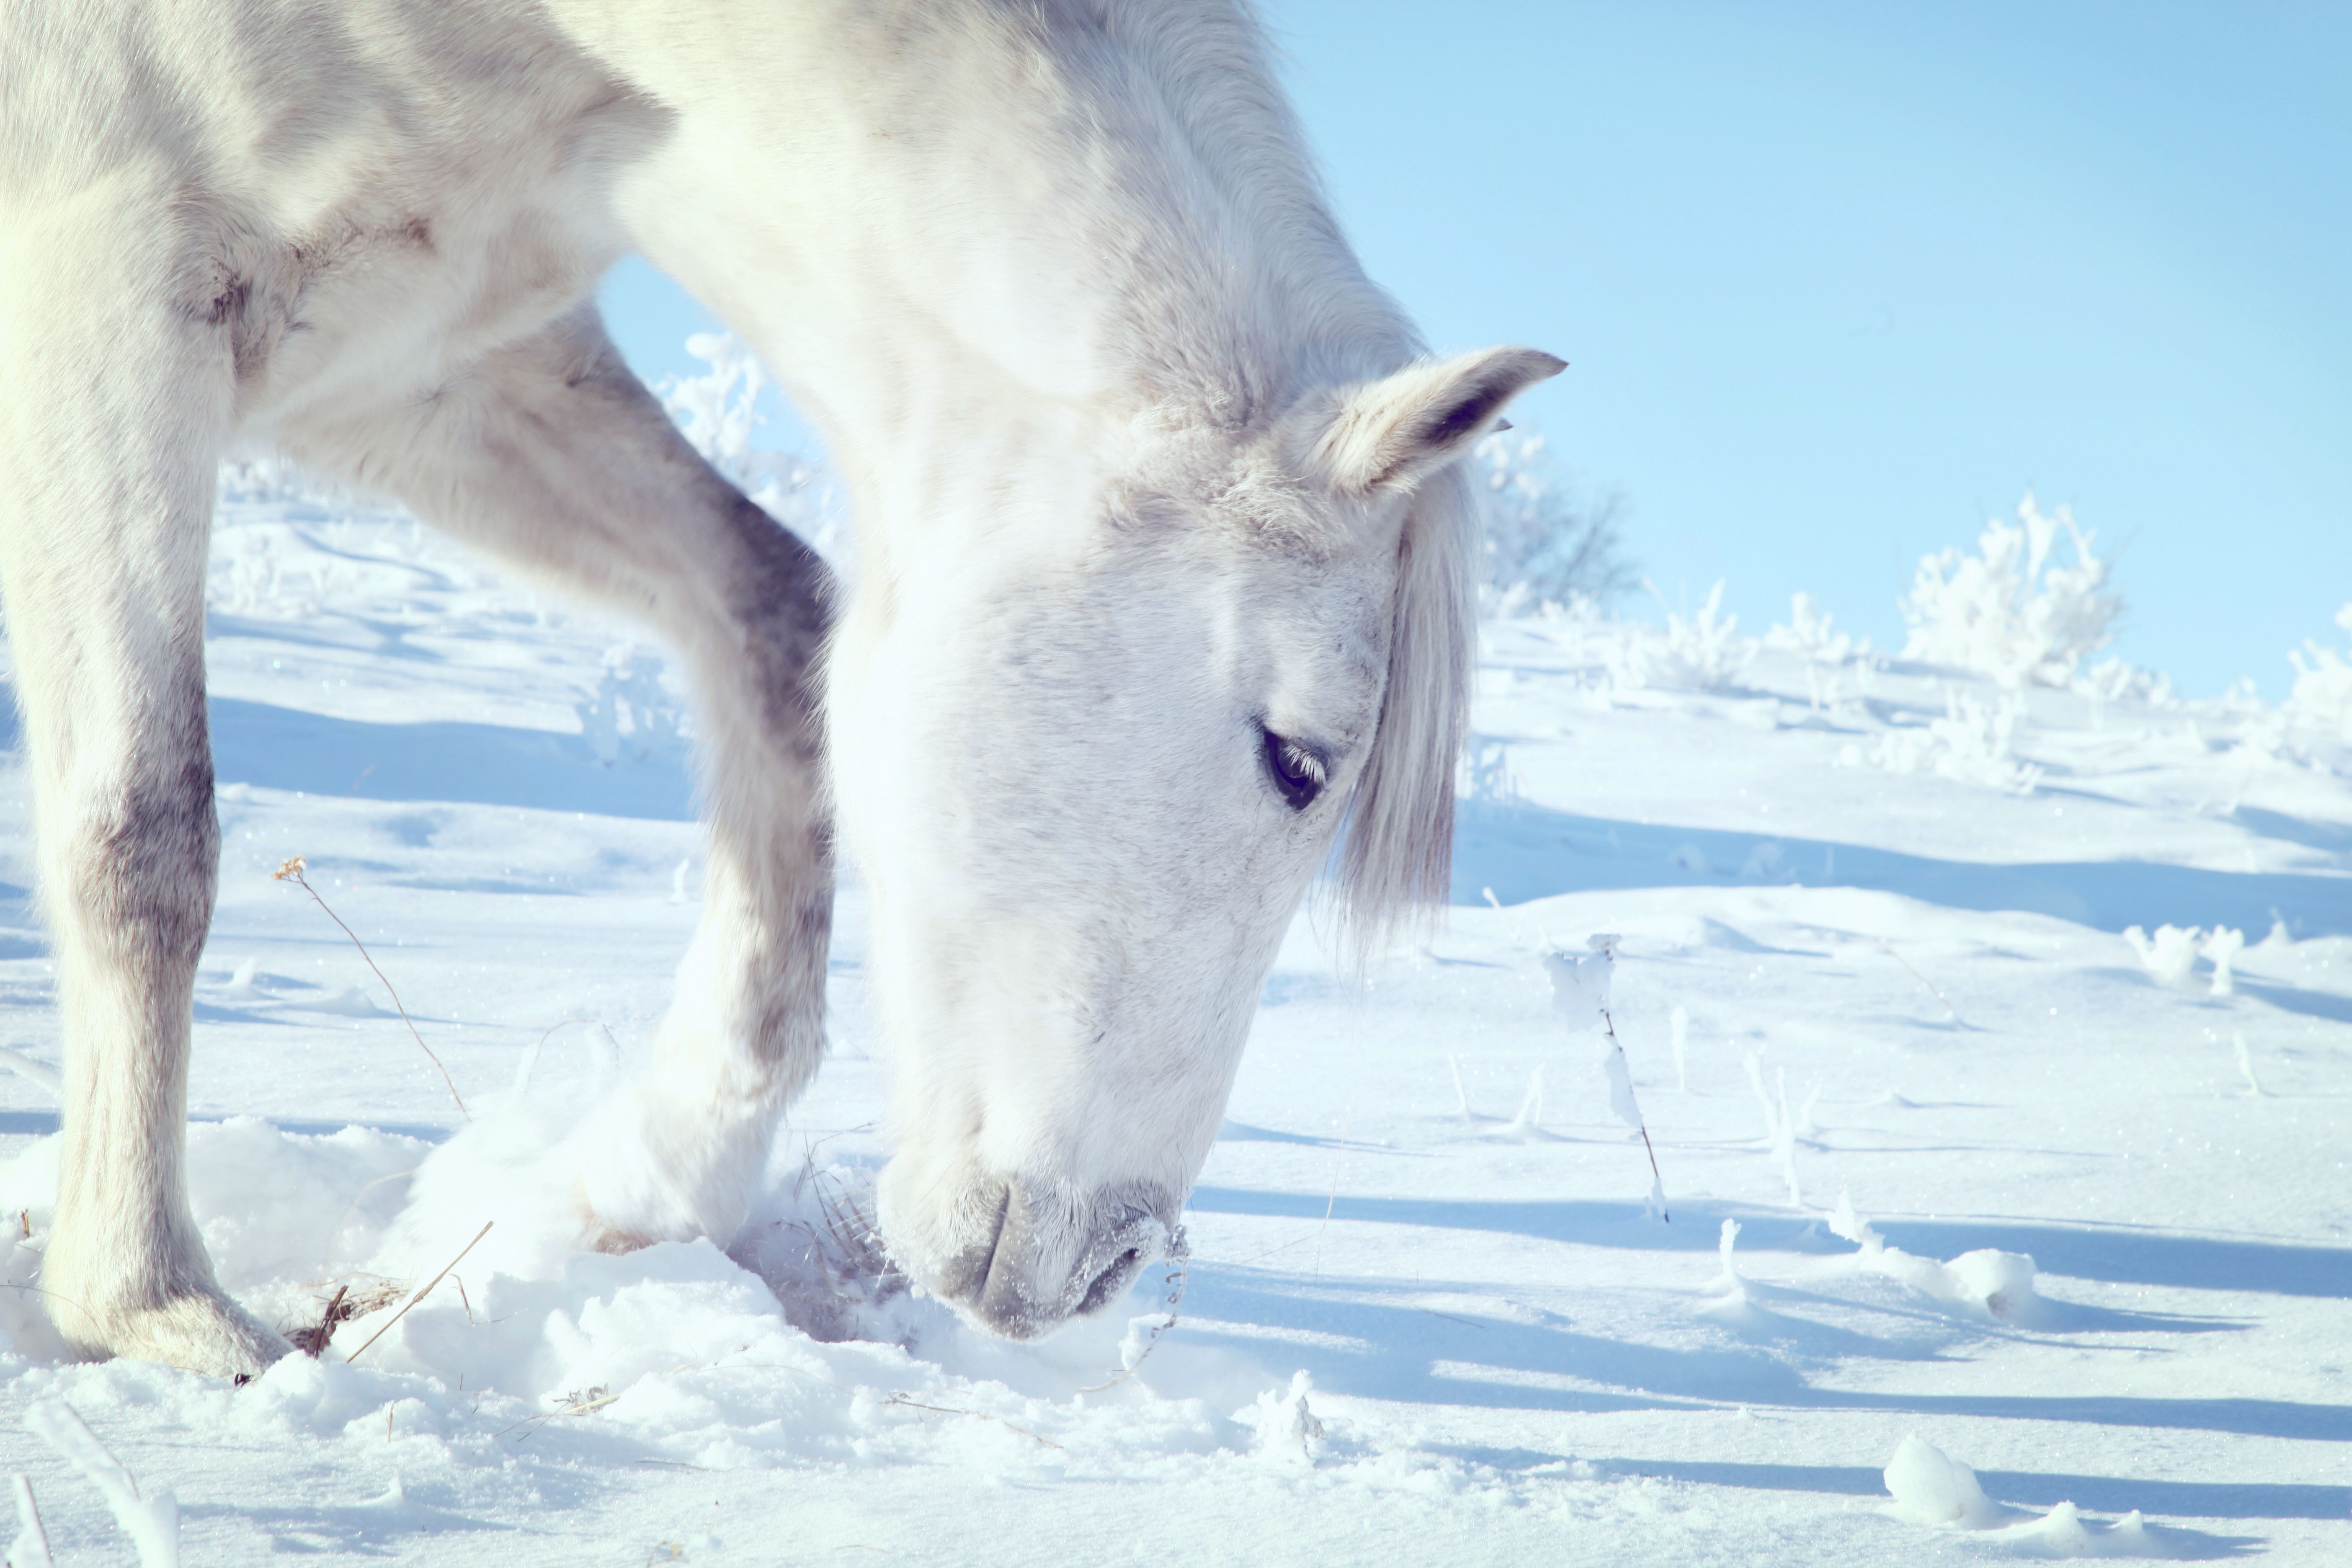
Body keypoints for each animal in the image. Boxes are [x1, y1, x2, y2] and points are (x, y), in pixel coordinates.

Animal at [0, 0, 1562, 1373]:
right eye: (1297, 759)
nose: (1105, 1268)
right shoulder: (107, 286)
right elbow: (144, 831)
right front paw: (150, 1304)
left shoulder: (421, 364)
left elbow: (774, 620)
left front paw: (655, 1173)